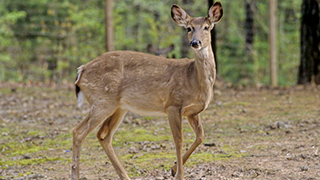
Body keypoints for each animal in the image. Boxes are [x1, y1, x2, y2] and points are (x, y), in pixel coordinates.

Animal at [72, 2, 222, 179]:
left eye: (206, 27)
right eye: (188, 28)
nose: (195, 42)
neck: (194, 79)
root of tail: (81, 71)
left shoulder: (192, 111)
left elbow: (200, 136)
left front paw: (173, 168)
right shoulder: (173, 104)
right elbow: (178, 140)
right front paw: (178, 174)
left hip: (119, 107)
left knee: (103, 135)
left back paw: (125, 176)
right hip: (102, 101)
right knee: (78, 131)